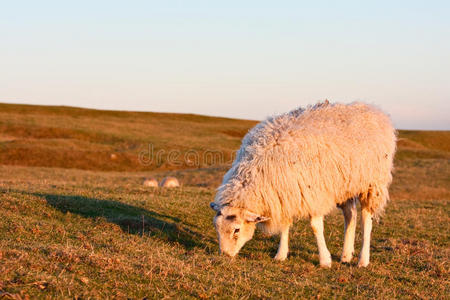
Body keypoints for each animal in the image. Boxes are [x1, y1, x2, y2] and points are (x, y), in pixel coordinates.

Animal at [209, 101, 396, 268]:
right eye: (216, 228)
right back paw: (346, 255)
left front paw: (325, 261)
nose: (224, 256)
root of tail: (373, 109)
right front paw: (280, 255)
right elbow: (284, 225)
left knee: (366, 220)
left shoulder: (313, 194)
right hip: (345, 185)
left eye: (236, 230)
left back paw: (362, 260)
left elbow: (315, 227)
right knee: (350, 215)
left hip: (372, 184)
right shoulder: (285, 194)